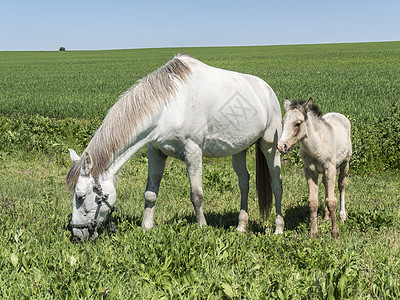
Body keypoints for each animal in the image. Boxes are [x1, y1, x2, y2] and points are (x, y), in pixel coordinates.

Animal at [67, 55, 282, 240]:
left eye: (81, 196)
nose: (77, 235)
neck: (171, 105)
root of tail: (268, 90)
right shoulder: (155, 151)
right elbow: (150, 194)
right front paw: (146, 226)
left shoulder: (193, 151)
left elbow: (197, 195)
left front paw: (202, 227)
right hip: (239, 150)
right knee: (244, 182)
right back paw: (241, 226)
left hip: (270, 147)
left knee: (277, 184)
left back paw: (279, 228)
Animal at [276, 99, 352, 239]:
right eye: (283, 122)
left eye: (298, 123)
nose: (281, 146)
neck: (316, 146)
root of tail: (338, 114)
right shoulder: (310, 171)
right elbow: (313, 202)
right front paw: (314, 233)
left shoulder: (330, 168)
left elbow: (332, 201)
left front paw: (335, 233)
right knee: (326, 185)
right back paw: (326, 217)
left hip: (345, 162)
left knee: (341, 185)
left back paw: (342, 216)